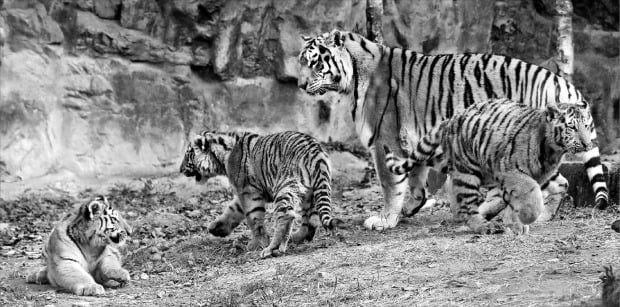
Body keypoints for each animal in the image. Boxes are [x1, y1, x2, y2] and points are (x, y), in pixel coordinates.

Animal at [180, 131, 340, 258]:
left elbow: (253, 218)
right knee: (310, 221)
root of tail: (316, 152)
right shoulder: (243, 193)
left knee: (287, 216)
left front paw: (255, 244)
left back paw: (271, 249)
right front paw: (216, 228)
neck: (223, 158)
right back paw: (296, 237)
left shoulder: (249, 192)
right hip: (310, 193)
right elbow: (233, 209)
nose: (180, 170)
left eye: (188, 154)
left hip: (286, 186)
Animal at [382, 100, 592, 235]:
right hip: (467, 173)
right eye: (572, 127)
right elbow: (531, 199)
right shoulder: (513, 173)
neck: (553, 151)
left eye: (587, 126)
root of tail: (453, 117)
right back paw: (485, 226)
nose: (588, 144)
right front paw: (525, 219)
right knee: (466, 207)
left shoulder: (532, 177)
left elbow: (515, 201)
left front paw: (516, 223)